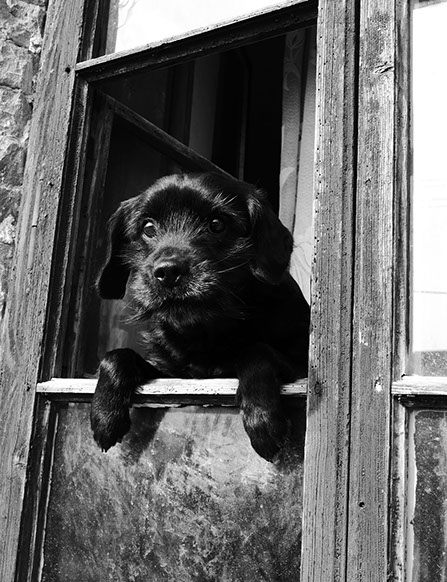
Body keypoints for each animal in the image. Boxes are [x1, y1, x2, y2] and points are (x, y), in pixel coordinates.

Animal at [91, 172, 310, 461]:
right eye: (148, 227)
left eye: (217, 225)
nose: (168, 272)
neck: (205, 330)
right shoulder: (172, 376)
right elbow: (116, 356)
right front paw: (105, 414)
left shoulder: (300, 366)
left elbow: (257, 350)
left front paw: (262, 418)